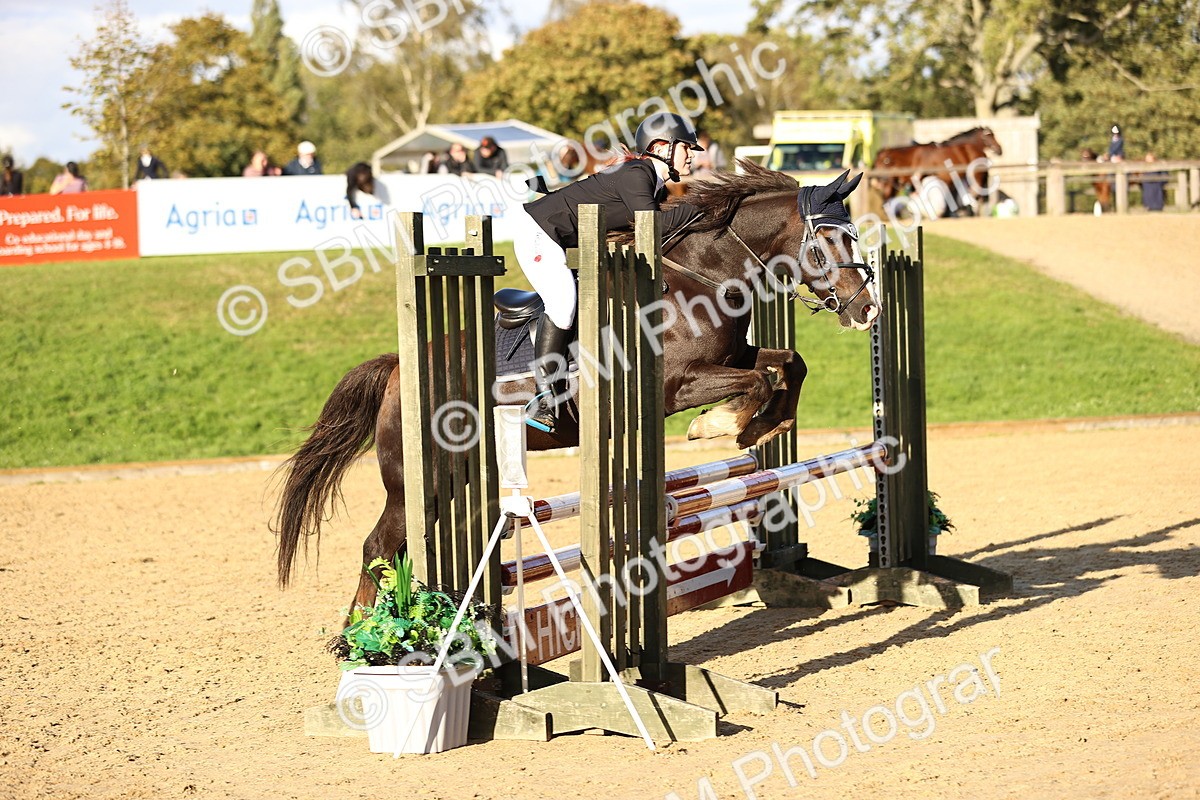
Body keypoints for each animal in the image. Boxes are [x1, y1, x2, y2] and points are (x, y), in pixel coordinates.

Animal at [273, 163, 880, 614]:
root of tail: (399, 368)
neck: (701, 276)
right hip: (414, 485)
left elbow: (788, 364)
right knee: (378, 547)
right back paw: (359, 641)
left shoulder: (732, 355)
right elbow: (753, 380)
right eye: (830, 239)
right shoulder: (677, 385)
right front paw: (717, 425)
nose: (867, 310)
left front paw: (765, 426)